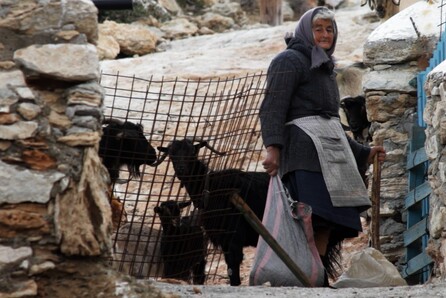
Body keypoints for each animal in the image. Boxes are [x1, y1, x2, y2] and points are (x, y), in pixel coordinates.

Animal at [157, 140, 268, 286]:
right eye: (171, 155)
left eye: (193, 152)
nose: (181, 169)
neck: (211, 187)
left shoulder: (233, 237)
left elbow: (233, 271)